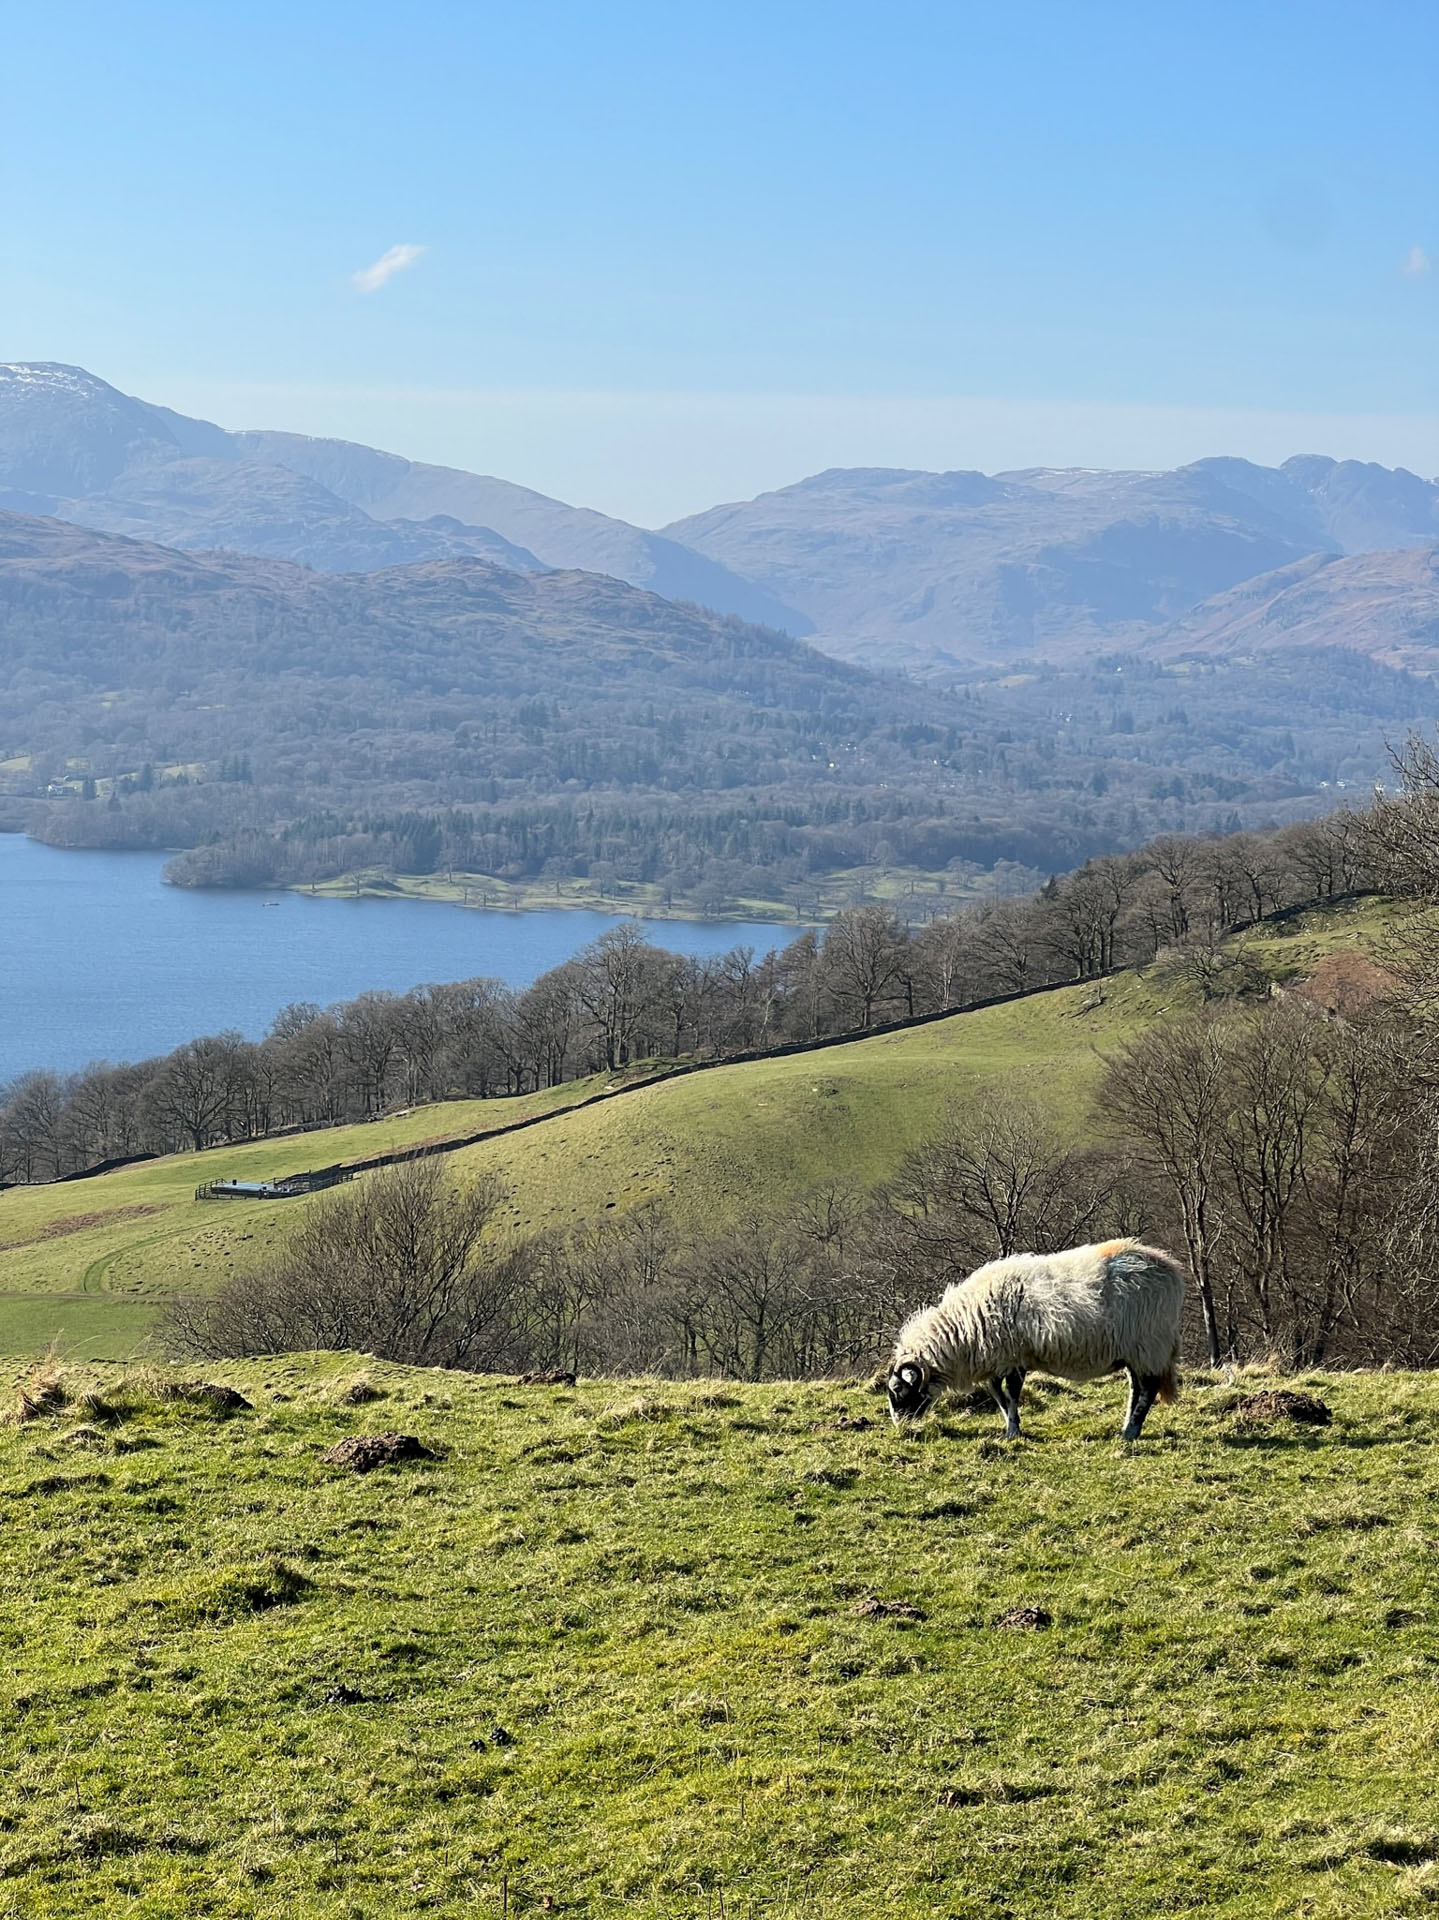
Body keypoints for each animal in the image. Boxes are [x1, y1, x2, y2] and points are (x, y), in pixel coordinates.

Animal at [887, 1244, 1175, 1443]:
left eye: (898, 1389)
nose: (900, 1426)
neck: (966, 1326)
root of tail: (1171, 1270)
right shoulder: (998, 1361)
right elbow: (998, 1395)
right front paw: (1010, 1426)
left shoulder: (1014, 1359)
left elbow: (1012, 1394)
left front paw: (1013, 1431)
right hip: (1134, 1353)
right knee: (1136, 1388)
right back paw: (1127, 1426)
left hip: (1148, 1347)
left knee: (1148, 1390)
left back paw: (1131, 1432)